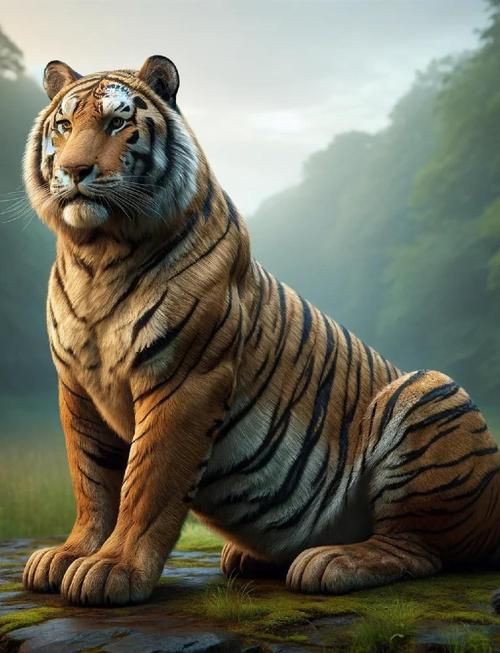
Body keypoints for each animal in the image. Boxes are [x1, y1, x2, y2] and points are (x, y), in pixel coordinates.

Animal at [21, 55, 500, 608]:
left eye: (117, 123)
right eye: (64, 125)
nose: (75, 171)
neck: (97, 257)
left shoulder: (185, 381)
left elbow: (146, 483)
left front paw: (111, 568)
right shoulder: (77, 387)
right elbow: (92, 481)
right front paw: (70, 554)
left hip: (430, 391)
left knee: (419, 549)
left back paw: (330, 561)